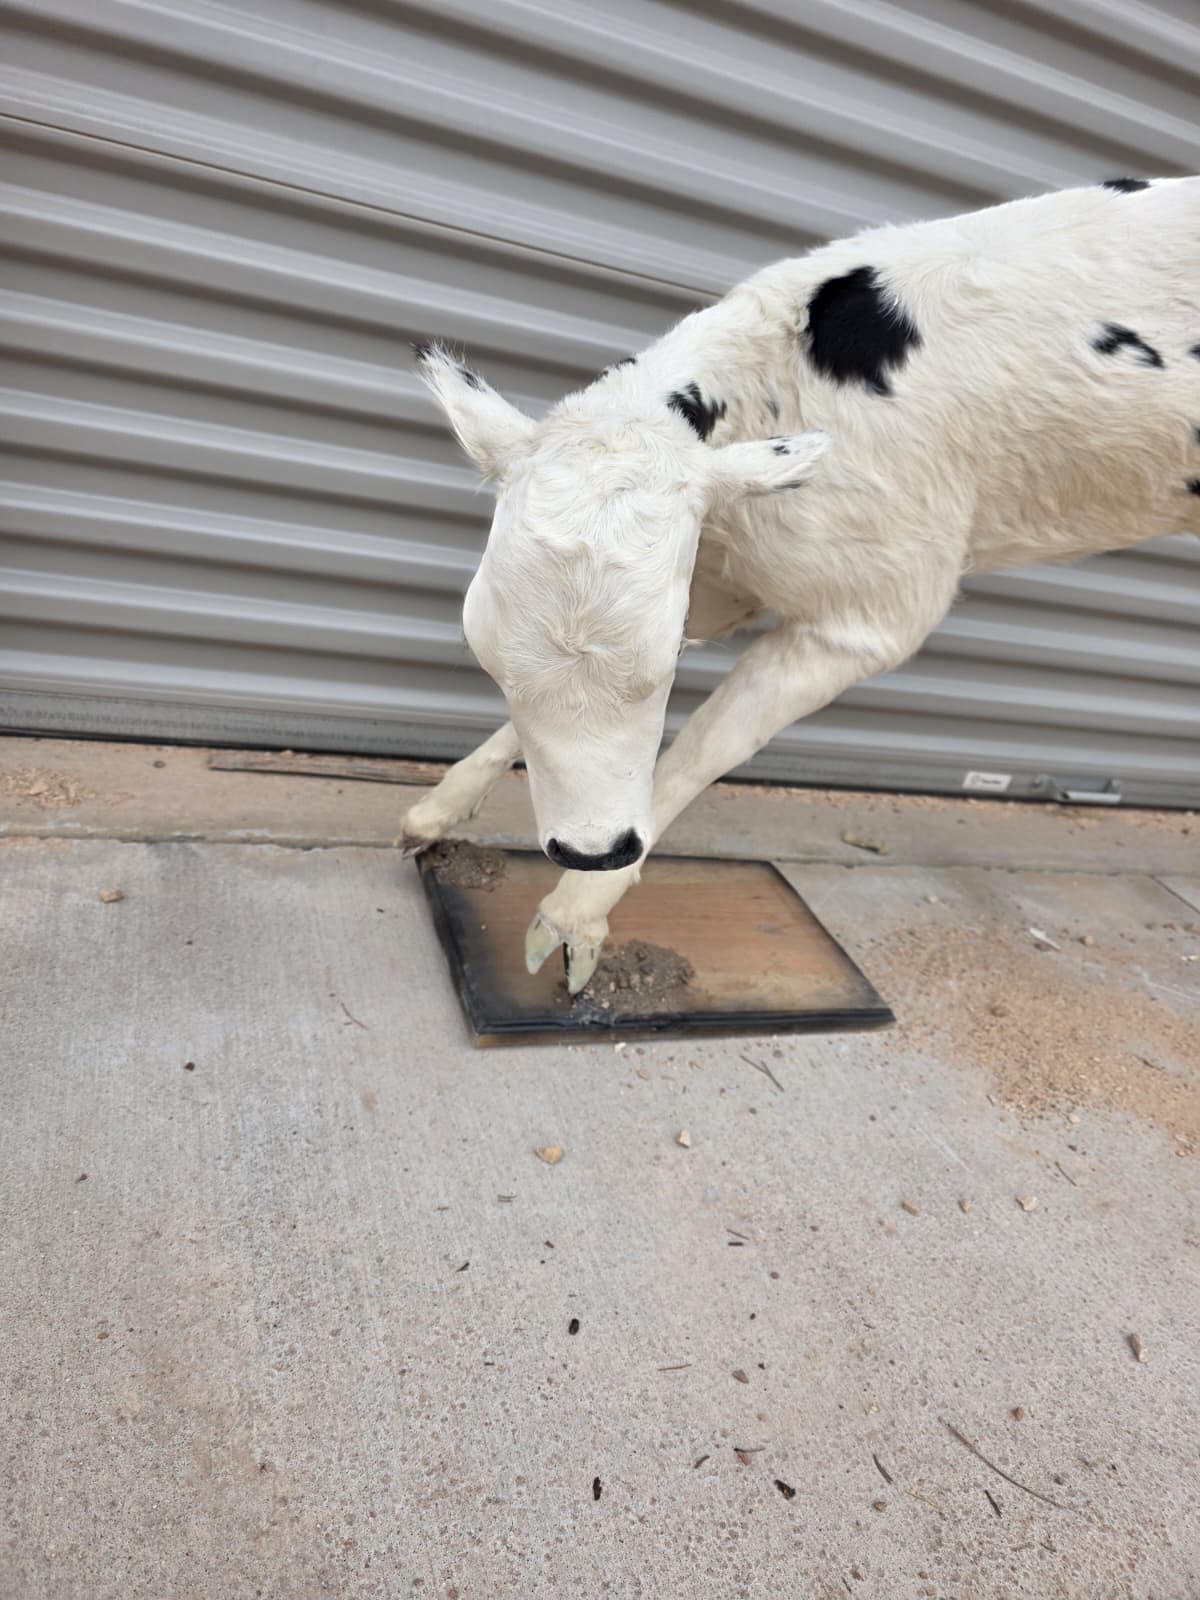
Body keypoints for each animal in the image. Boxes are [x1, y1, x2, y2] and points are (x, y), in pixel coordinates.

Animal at [401, 177, 1200, 994]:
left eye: (661, 670)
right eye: (489, 661)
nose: (593, 849)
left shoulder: (869, 617)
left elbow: (701, 748)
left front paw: (572, 916)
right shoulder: (717, 574)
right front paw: (437, 810)